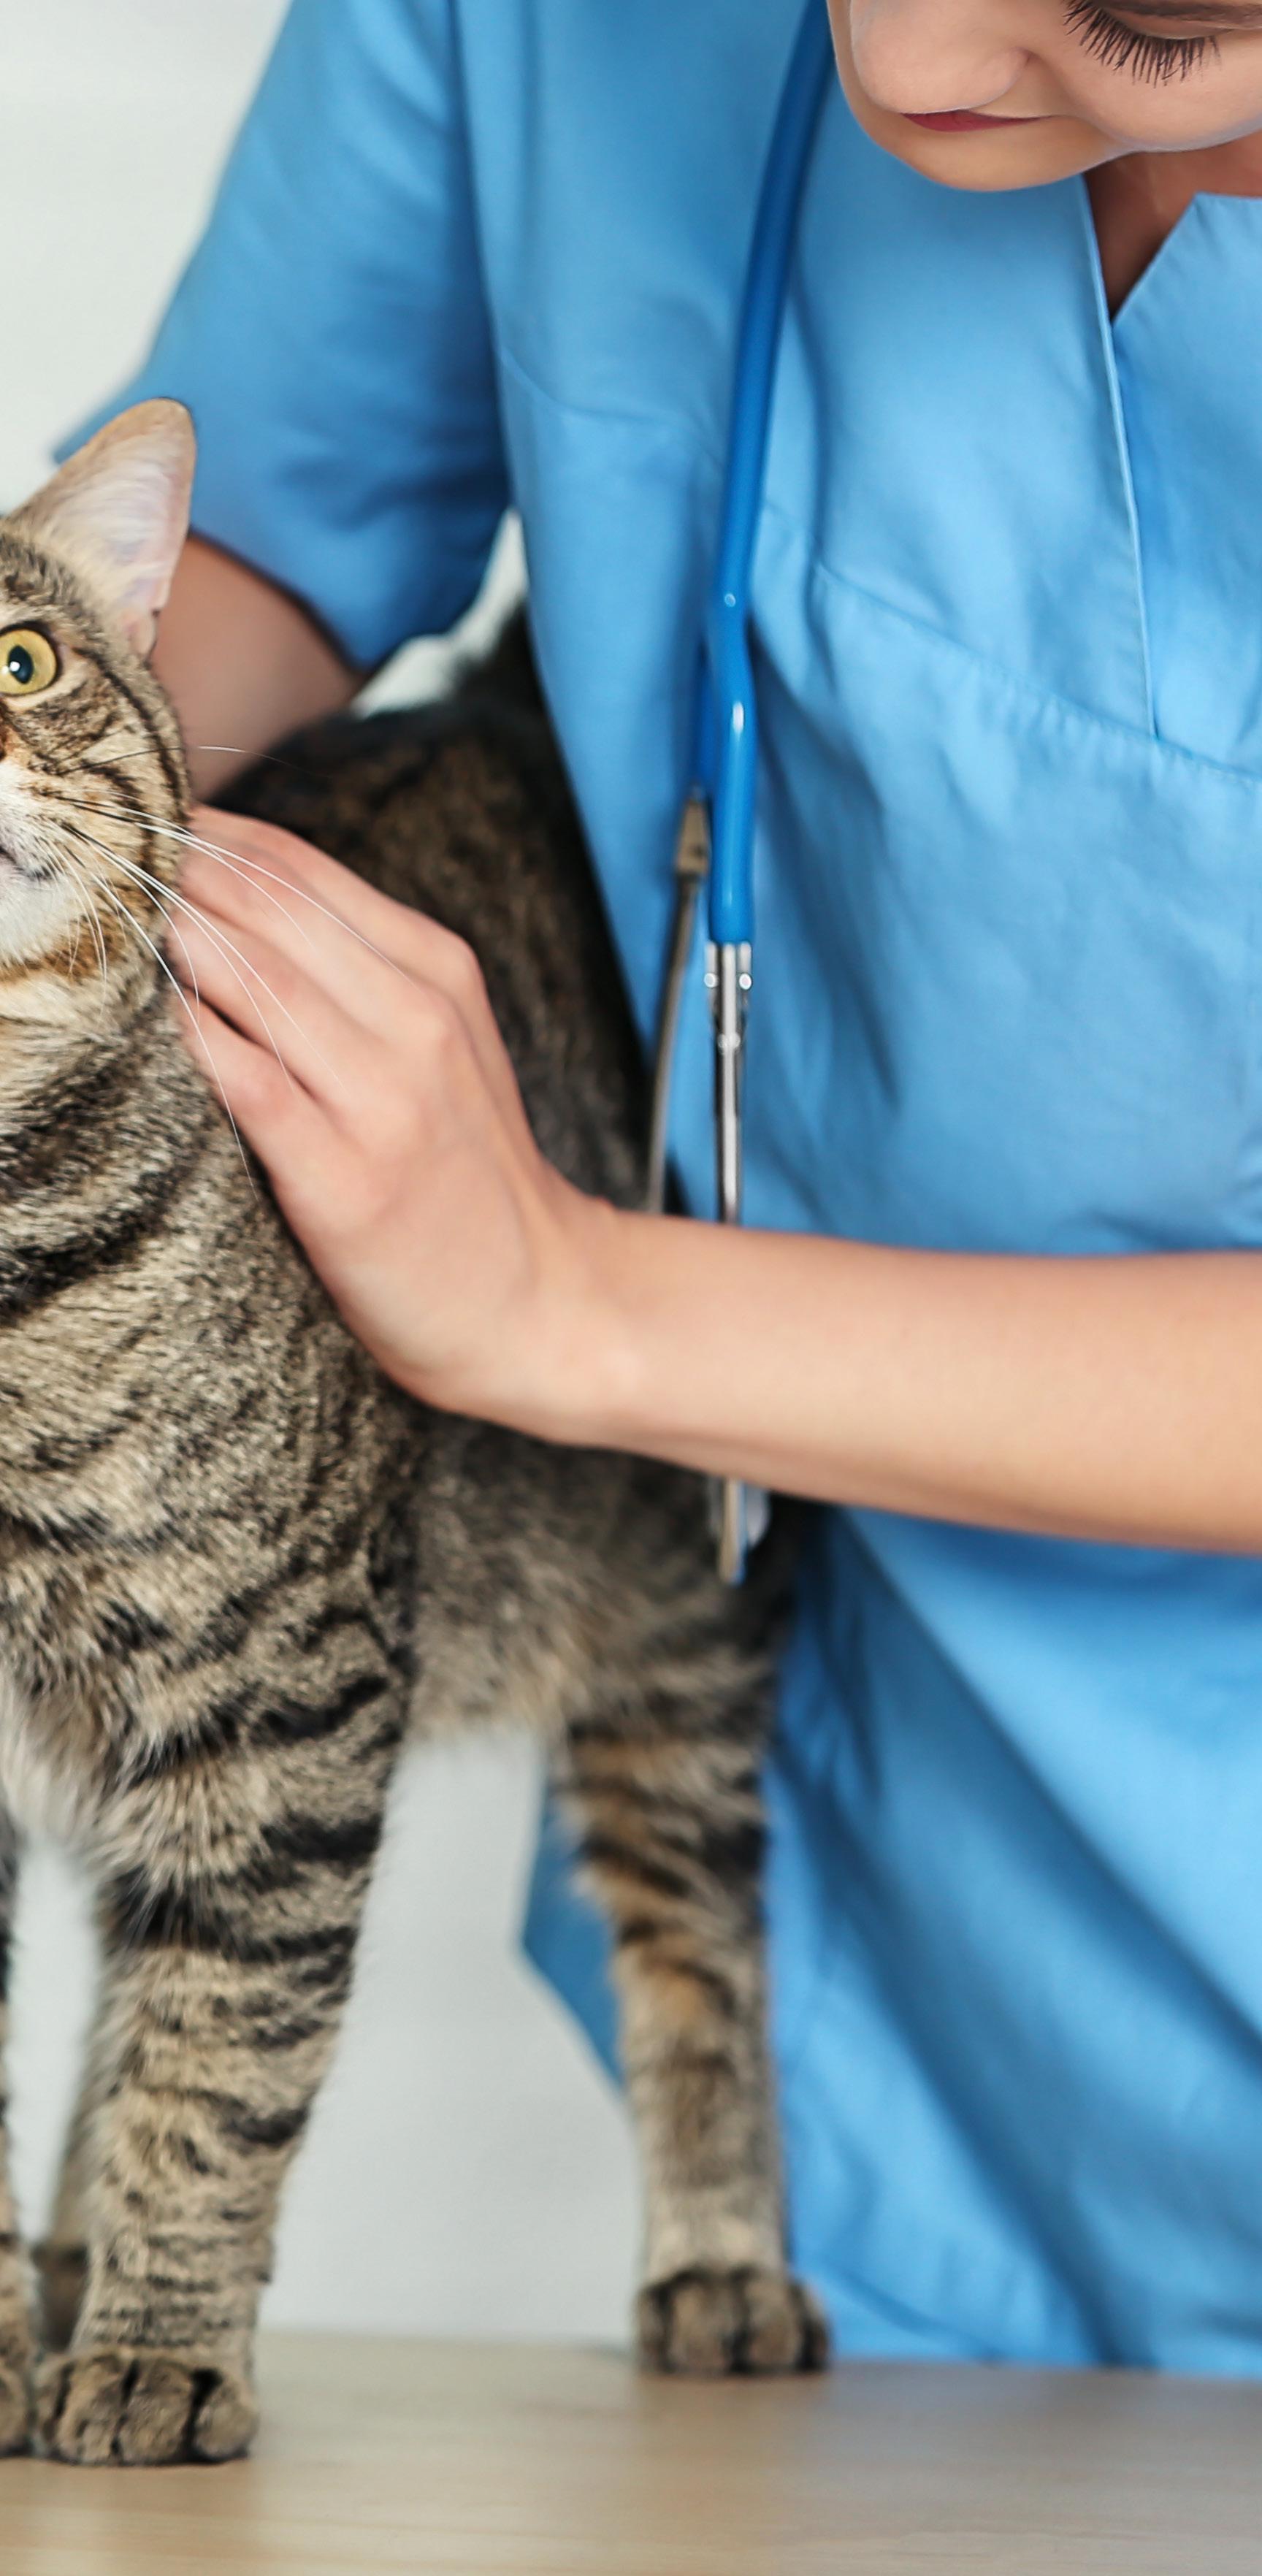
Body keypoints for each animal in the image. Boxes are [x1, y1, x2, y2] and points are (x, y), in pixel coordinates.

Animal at [0, 401, 825, 2467]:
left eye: (22, 660)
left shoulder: (284, 1685)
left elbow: (220, 2062)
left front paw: (158, 2348)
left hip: (676, 1631)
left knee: (701, 1941)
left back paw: (720, 2259)